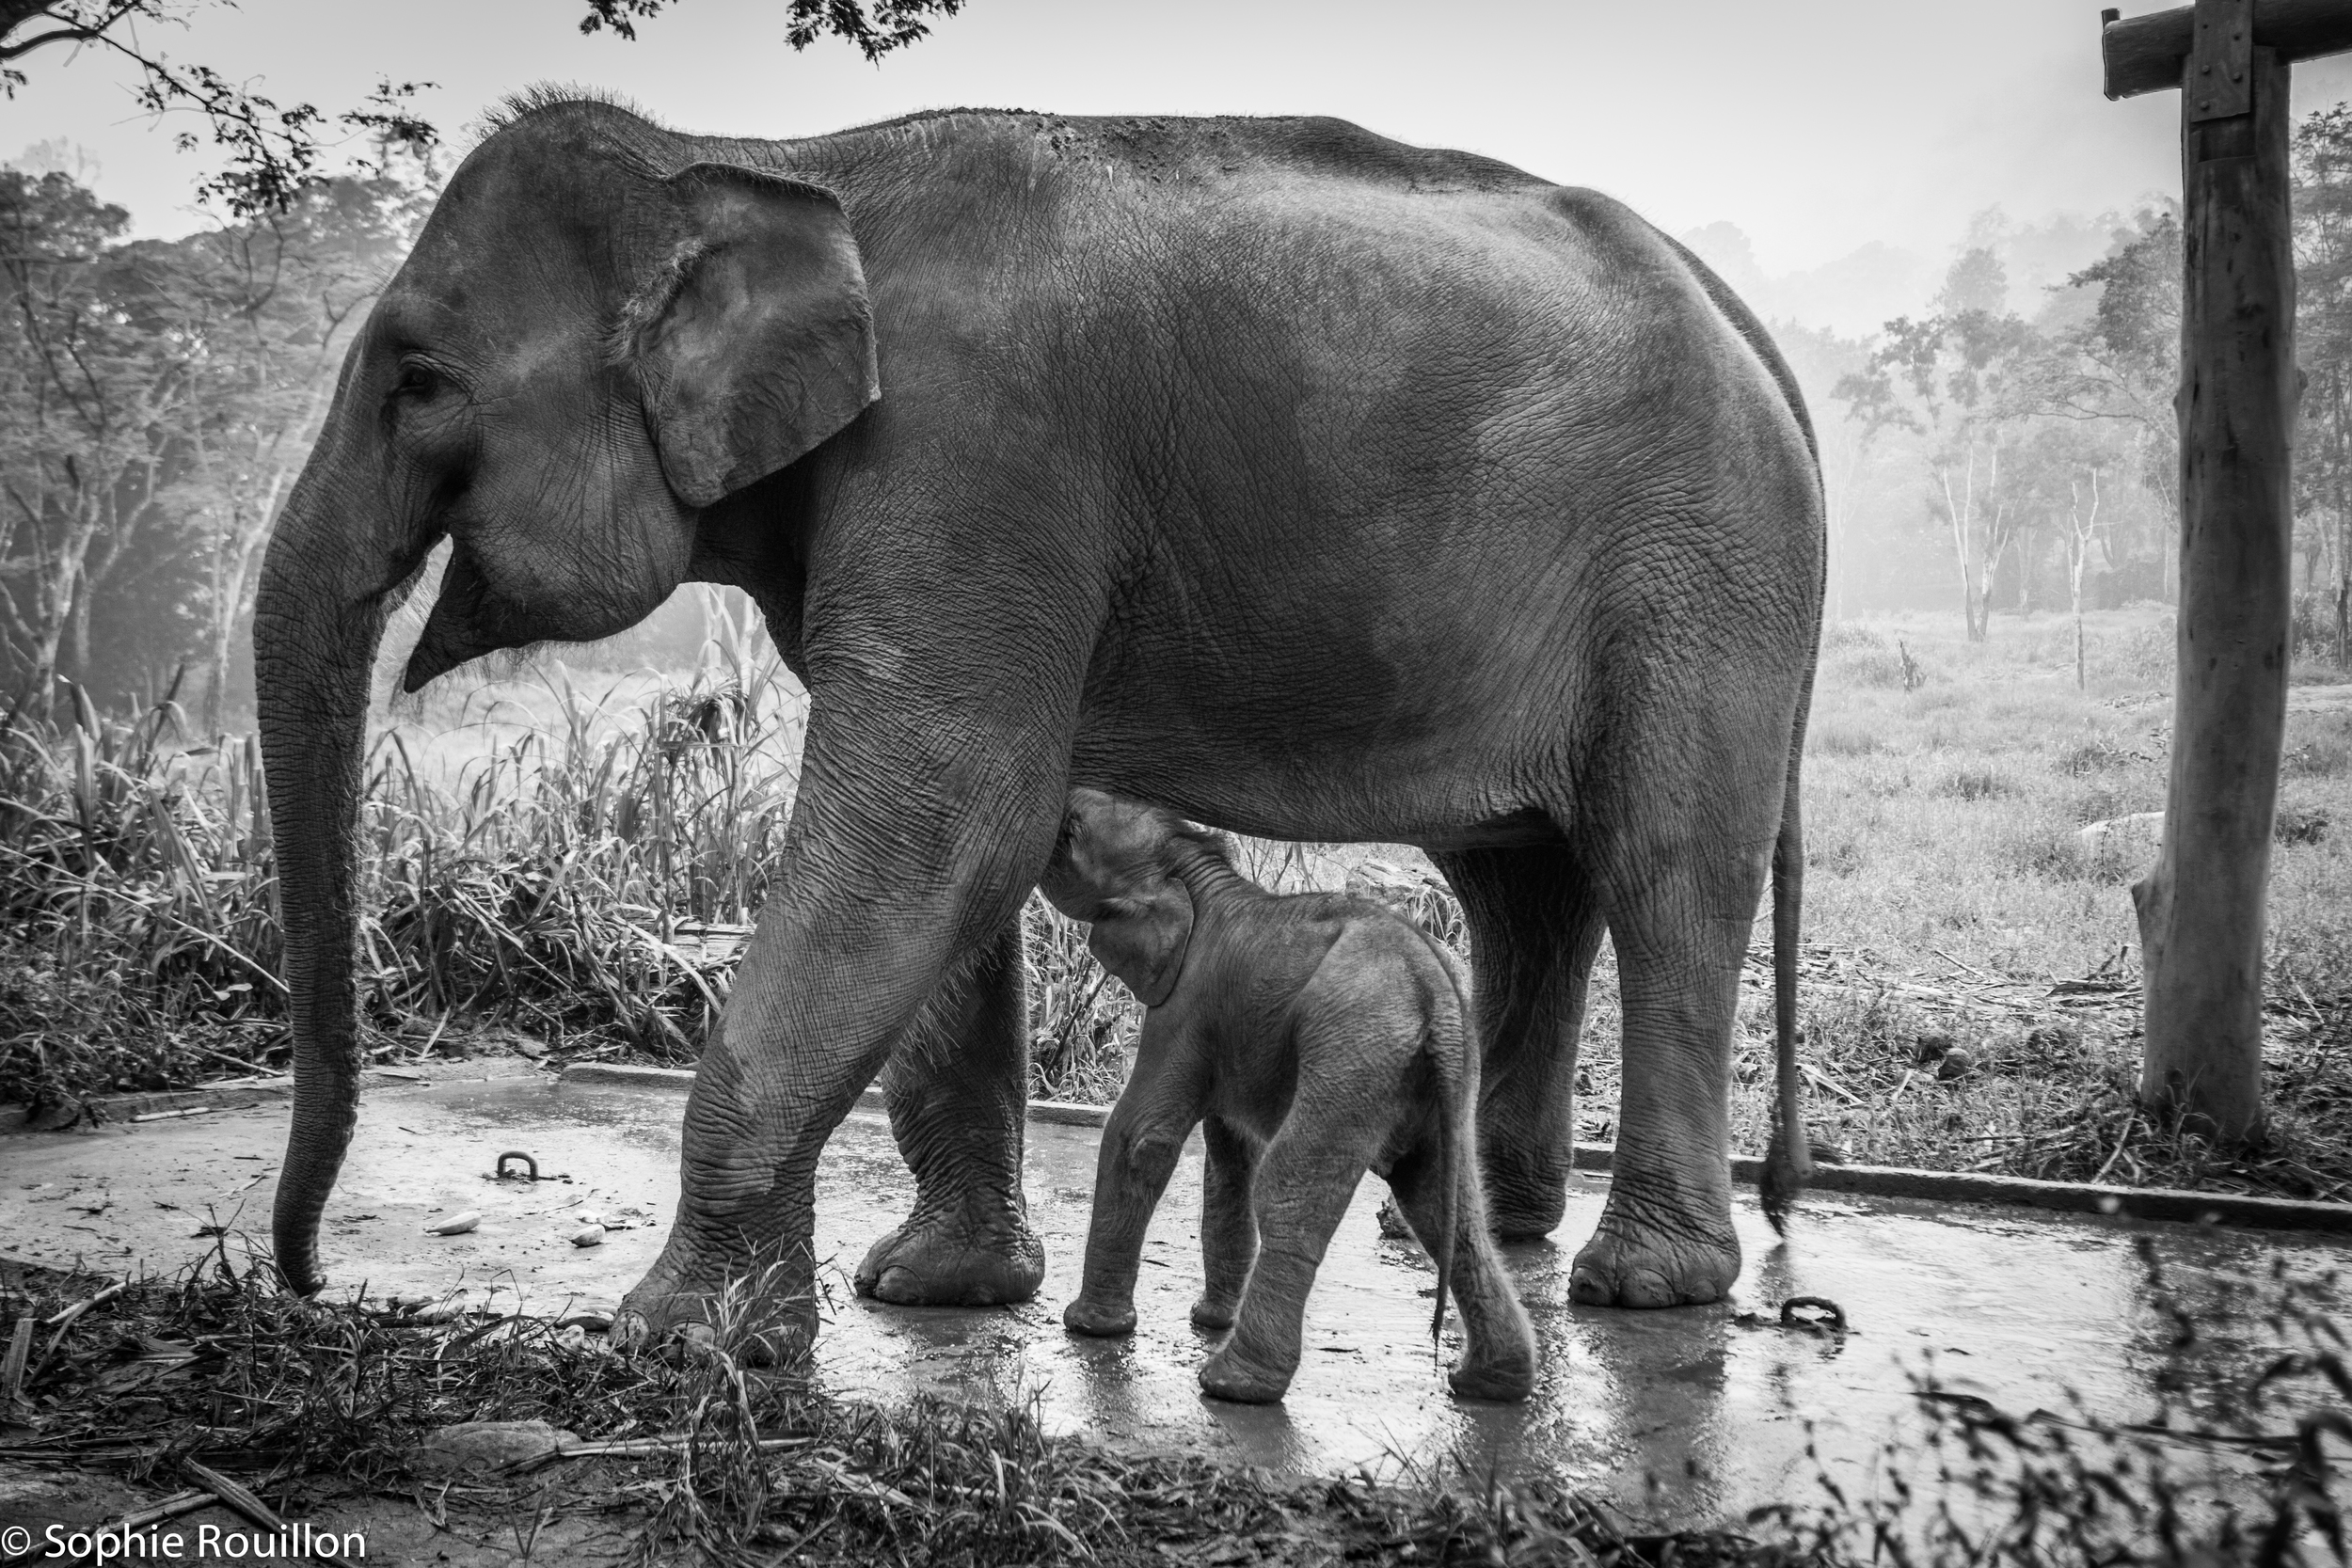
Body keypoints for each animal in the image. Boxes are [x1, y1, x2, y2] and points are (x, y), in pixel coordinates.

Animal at [262, 92, 1835, 1335]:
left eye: (418, 380)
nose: (310, 1279)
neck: (766, 157)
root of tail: (1758, 335)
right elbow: (955, 853)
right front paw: (932, 1287)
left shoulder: (976, 457)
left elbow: (939, 817)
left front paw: (674, 1334)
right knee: (1526, 882)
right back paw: (1473, 1225)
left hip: (1705, 576)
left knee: (1663, 867)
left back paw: (1642, 1282)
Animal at [1040, 789, 1534, 1401]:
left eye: (1072, 831)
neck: (1192, 866)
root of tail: (1432, 990)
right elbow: (1229, 1157)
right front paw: (1208, 1319)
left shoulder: (1185, 1004)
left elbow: (1141, 1138)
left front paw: (1088, 1328)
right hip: (1446, 1072)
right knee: (1446, 1202)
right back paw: (1488, 1382)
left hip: (1352, 1050)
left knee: (1290, 1188)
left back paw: (1232, 1382)